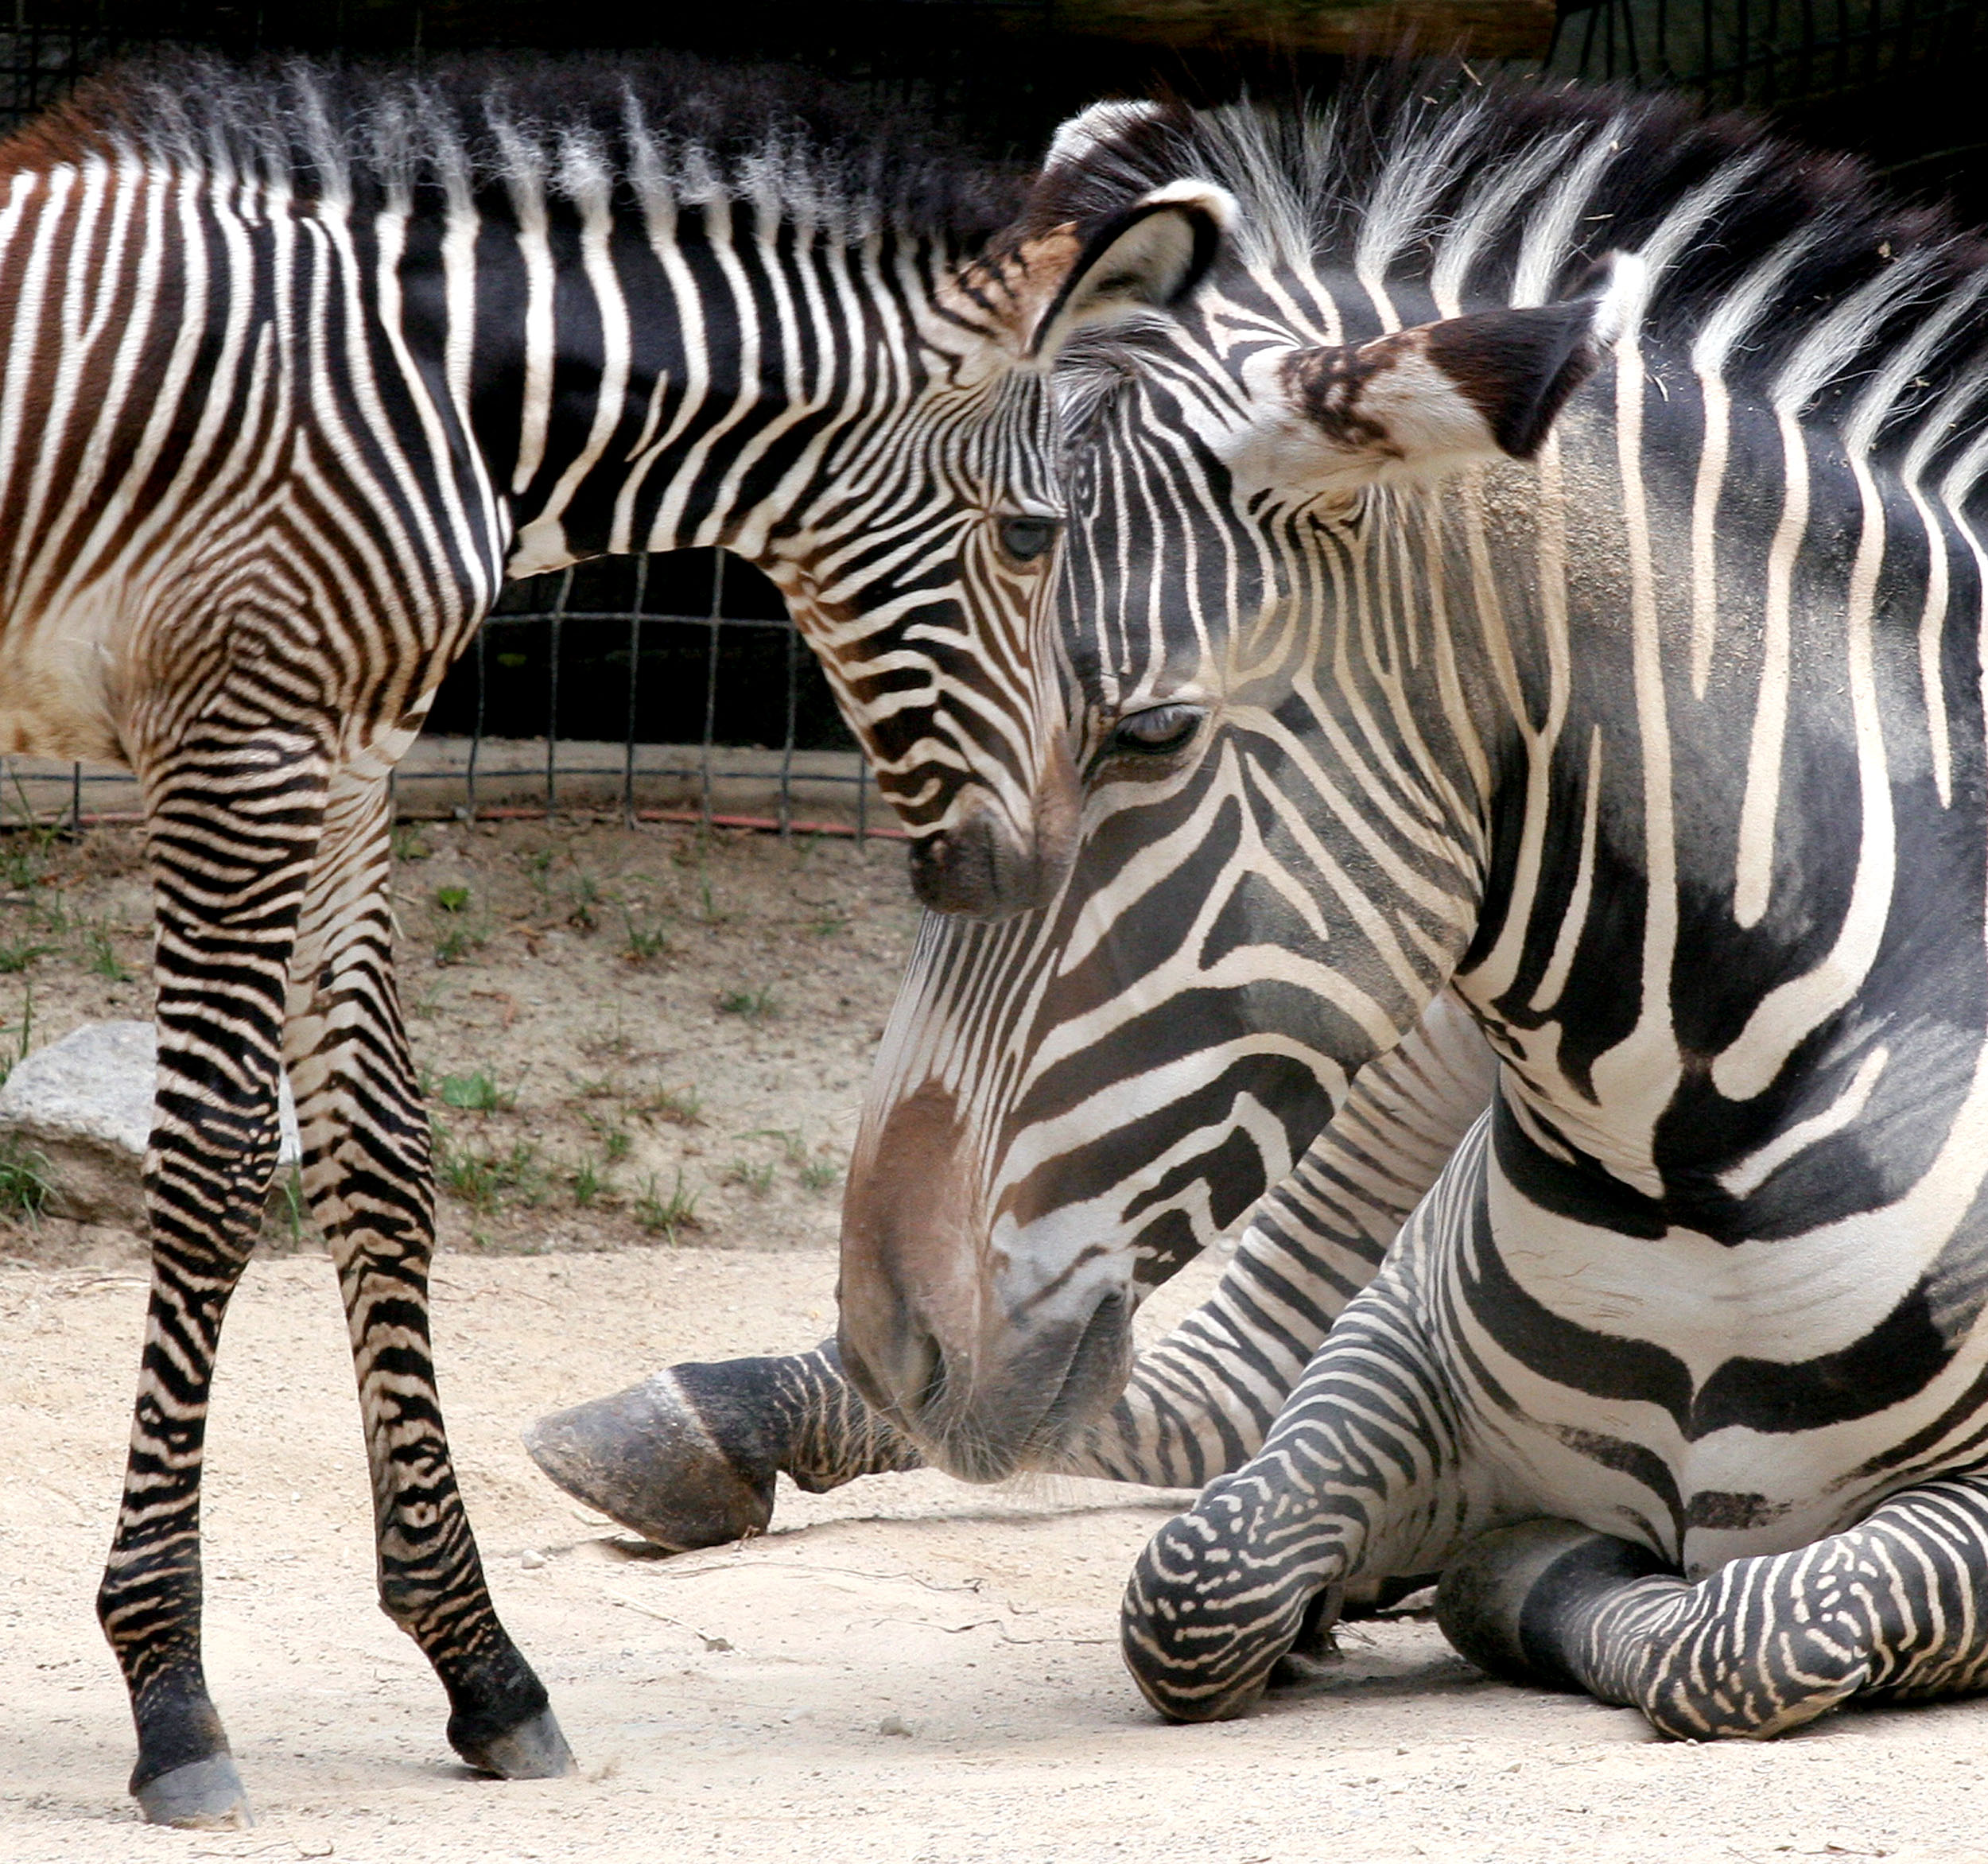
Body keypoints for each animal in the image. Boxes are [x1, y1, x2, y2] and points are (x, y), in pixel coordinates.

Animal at [0, 55, 1225, 1825]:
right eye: (1028, 535)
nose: (1037, 863)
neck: (439, 398)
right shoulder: (245, 739)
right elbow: (224, 1169)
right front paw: (168, 1683)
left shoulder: (347, 758)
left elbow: (381, 1163)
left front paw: (479, 1662)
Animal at [581, 76, 1988, 1740]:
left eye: (1150, 735)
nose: (897, 1344)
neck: (1686, 1158)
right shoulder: (1395, 1353)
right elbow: (1201, 1577)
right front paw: (1427, 1575)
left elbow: (1755, 1628)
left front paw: (1522, 1580)